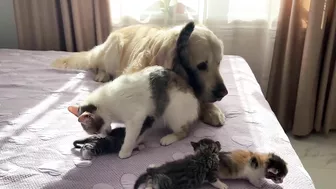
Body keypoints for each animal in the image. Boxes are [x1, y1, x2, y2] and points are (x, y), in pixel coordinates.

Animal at [68, 21, 200, 159]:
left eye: (95, 131)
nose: (104, 134)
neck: (108, 105)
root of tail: (190, 87)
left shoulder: (135, 119)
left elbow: (130, 137)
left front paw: (125, 152)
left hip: (173, 114)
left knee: (184, 132)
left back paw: (168, 138)